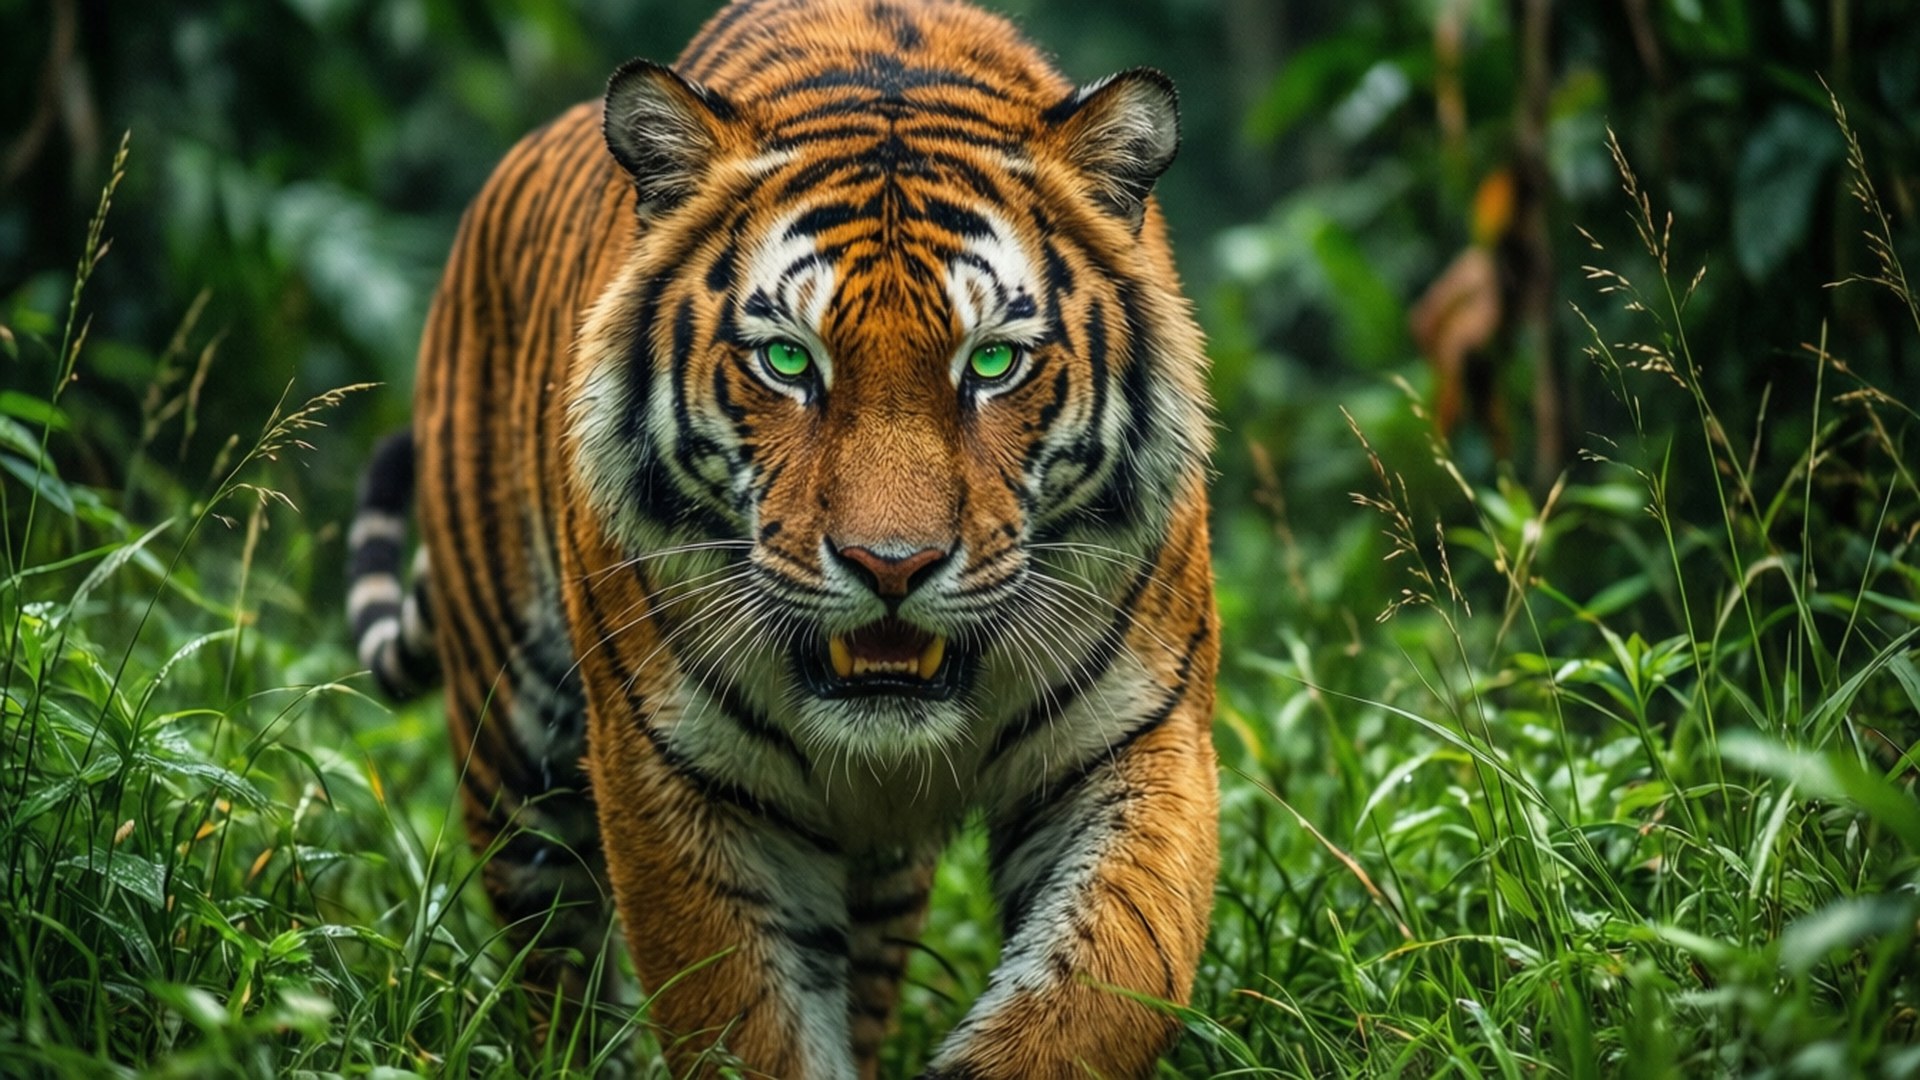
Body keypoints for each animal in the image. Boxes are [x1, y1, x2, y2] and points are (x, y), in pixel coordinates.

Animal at [345, 0, 1219, 1075]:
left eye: (994, 364)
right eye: (789, 362)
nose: (894, 567)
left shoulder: (1139, 732)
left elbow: (1105, 989)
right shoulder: (678, 771)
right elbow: (744, 1019)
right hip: (515, 746)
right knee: (551, 960)